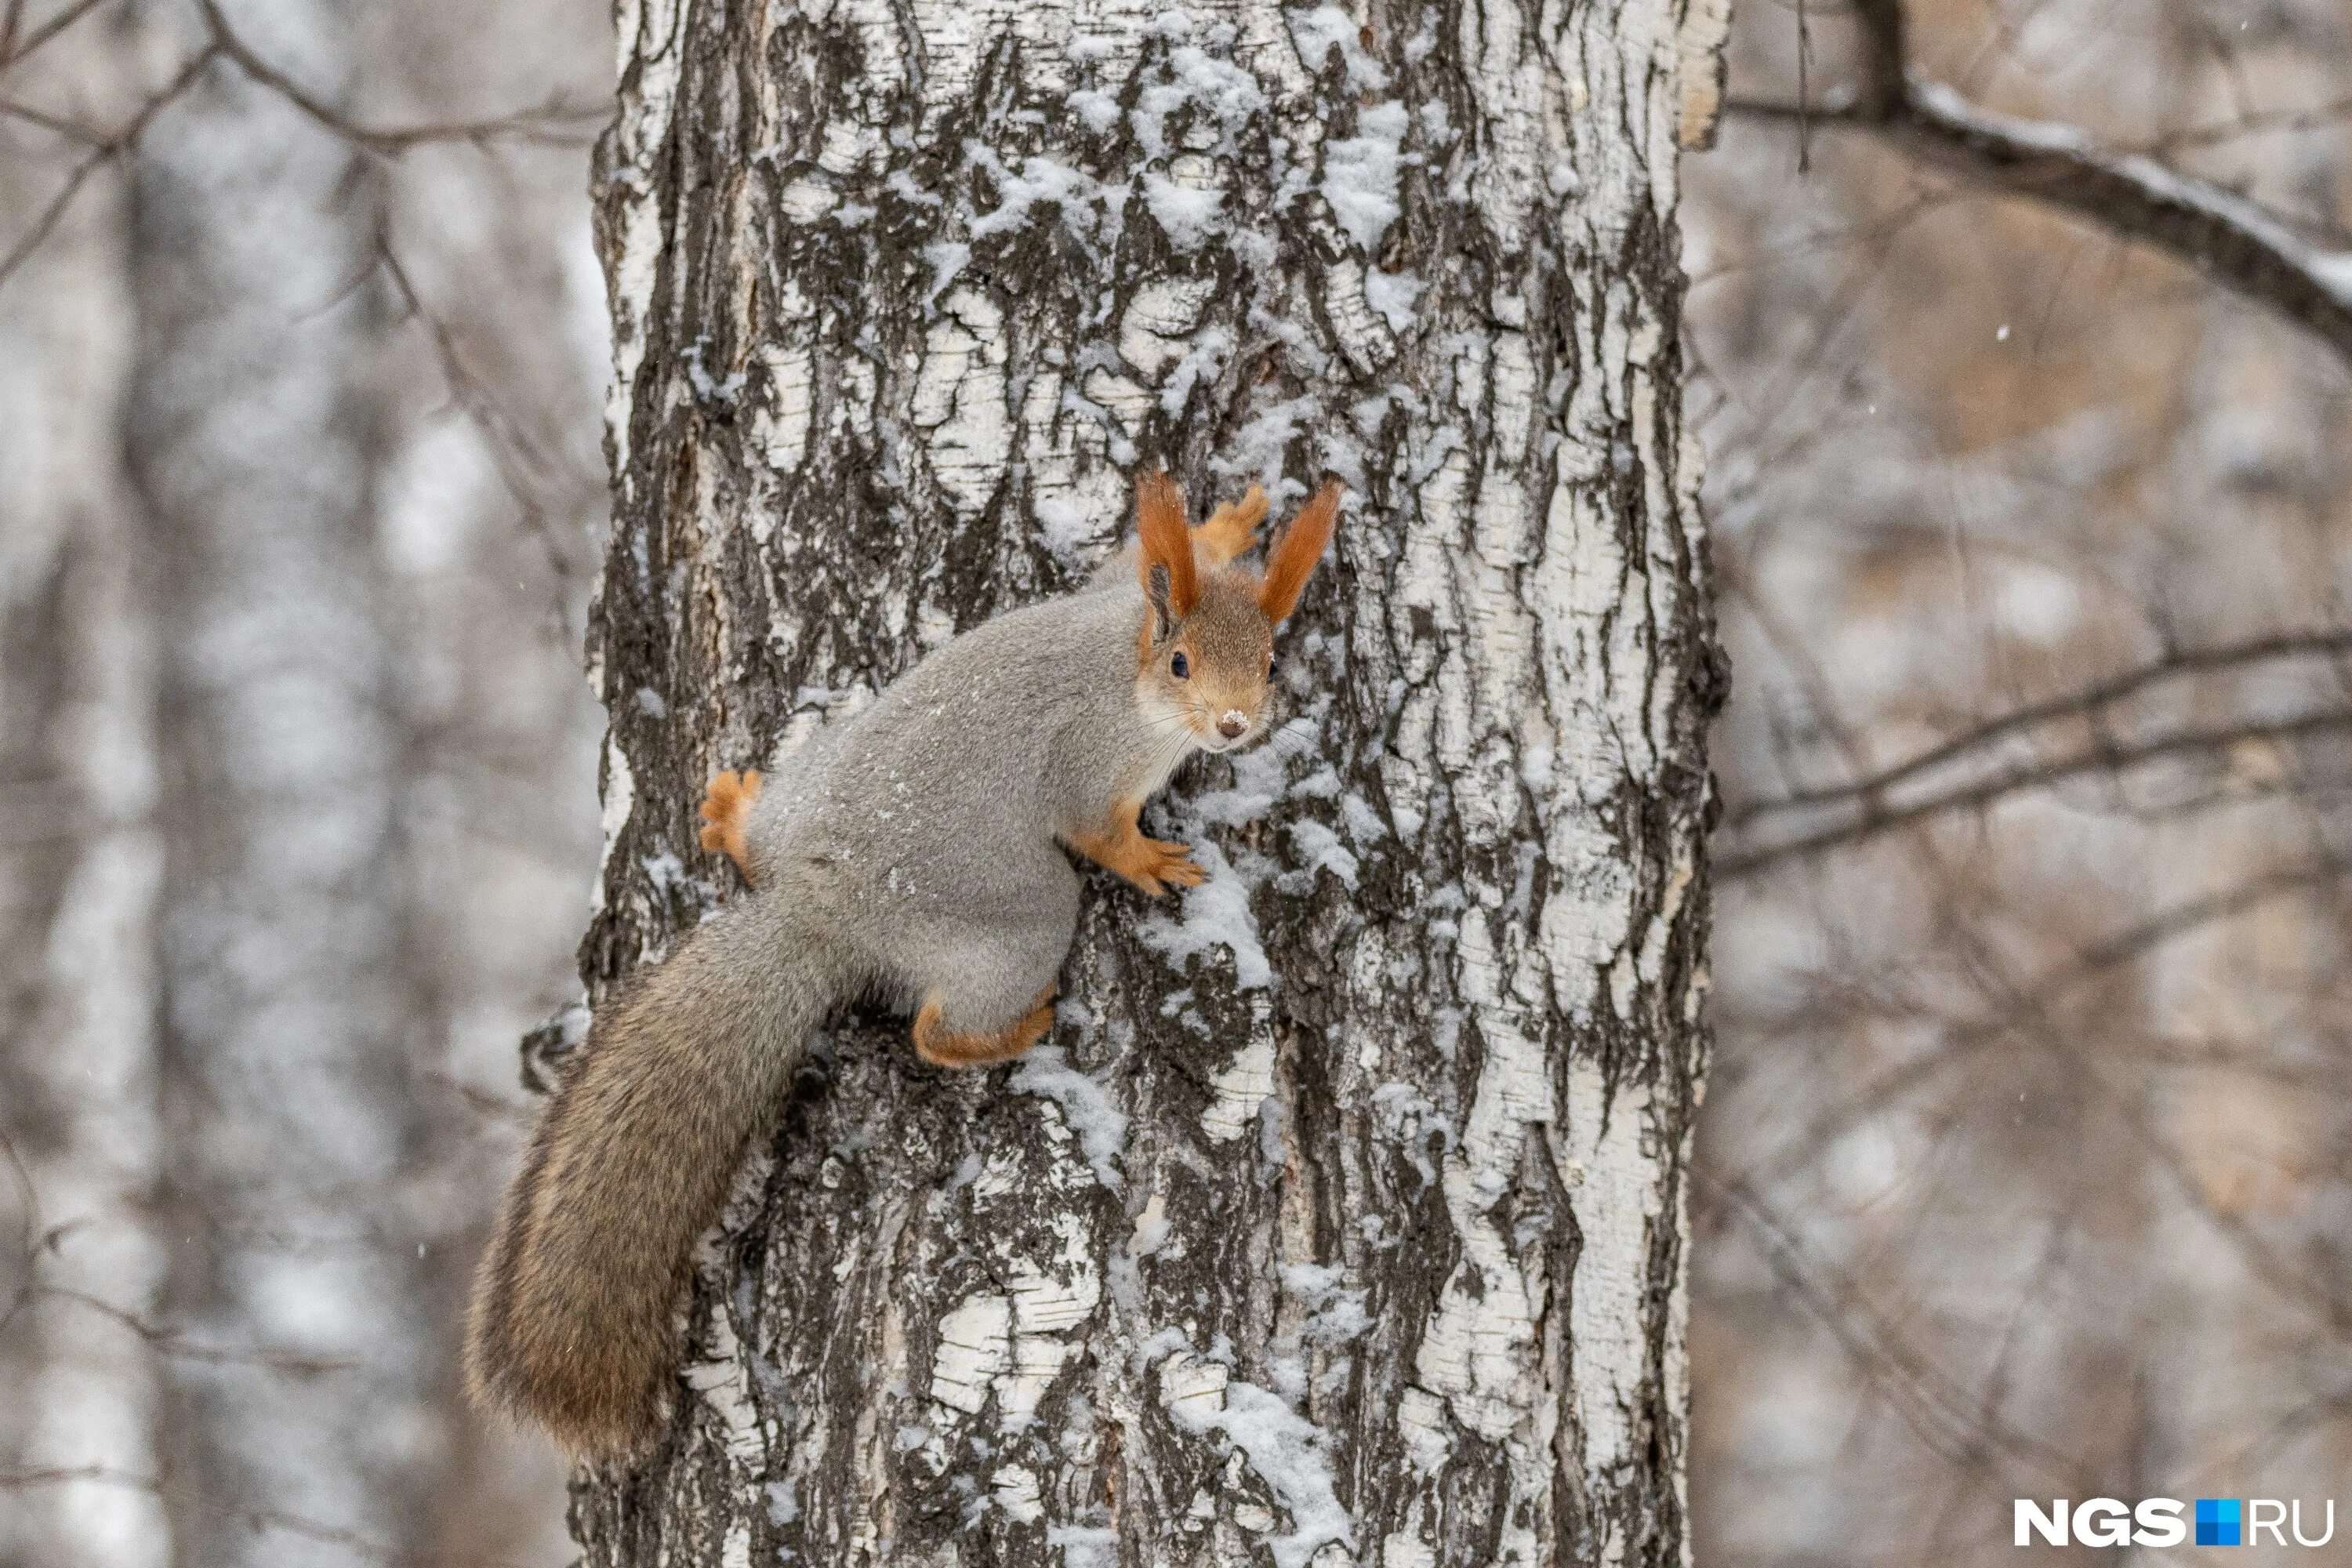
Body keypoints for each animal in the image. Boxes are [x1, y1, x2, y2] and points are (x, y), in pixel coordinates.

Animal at [463, 465, 1345, 1457]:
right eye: (1183, 664)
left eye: (1269, 663)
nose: (1233, 726)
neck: (1128, 664)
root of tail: (822, 907)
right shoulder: (1088, 763)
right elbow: (1098, 831)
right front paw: (1151, 861)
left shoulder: (1116, 590)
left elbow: (1130, 555)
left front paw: (1225, 527)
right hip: (1019, 909)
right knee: (935, 1026)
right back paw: (1015, 1025)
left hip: (815, 773)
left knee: (765, 844)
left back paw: (733, 815)